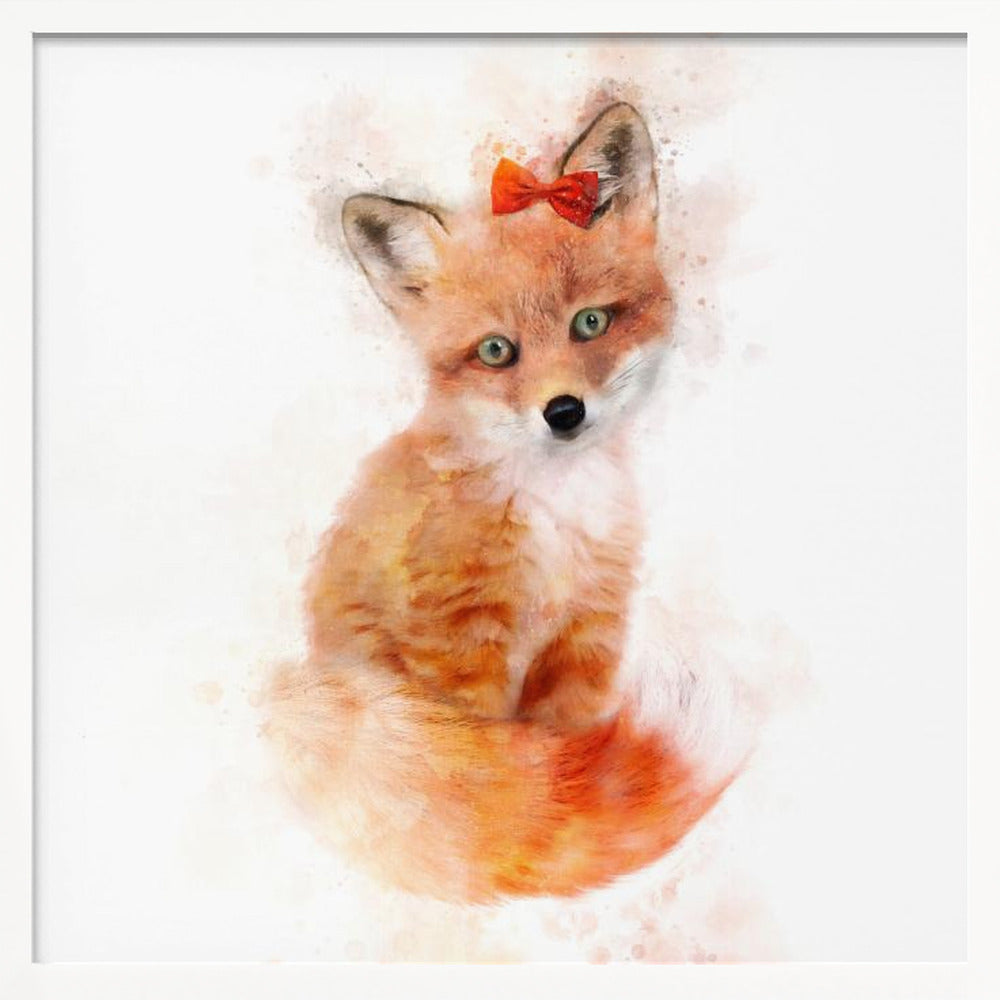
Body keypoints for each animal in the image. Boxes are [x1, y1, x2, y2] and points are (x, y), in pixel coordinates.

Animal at [266, 102, 743, 902]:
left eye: (590, 323)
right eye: (496, 351)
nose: (564, 412)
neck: (554, 516)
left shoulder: (584, 639)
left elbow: (567, 776)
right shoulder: (457, 649)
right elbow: (504, 793)